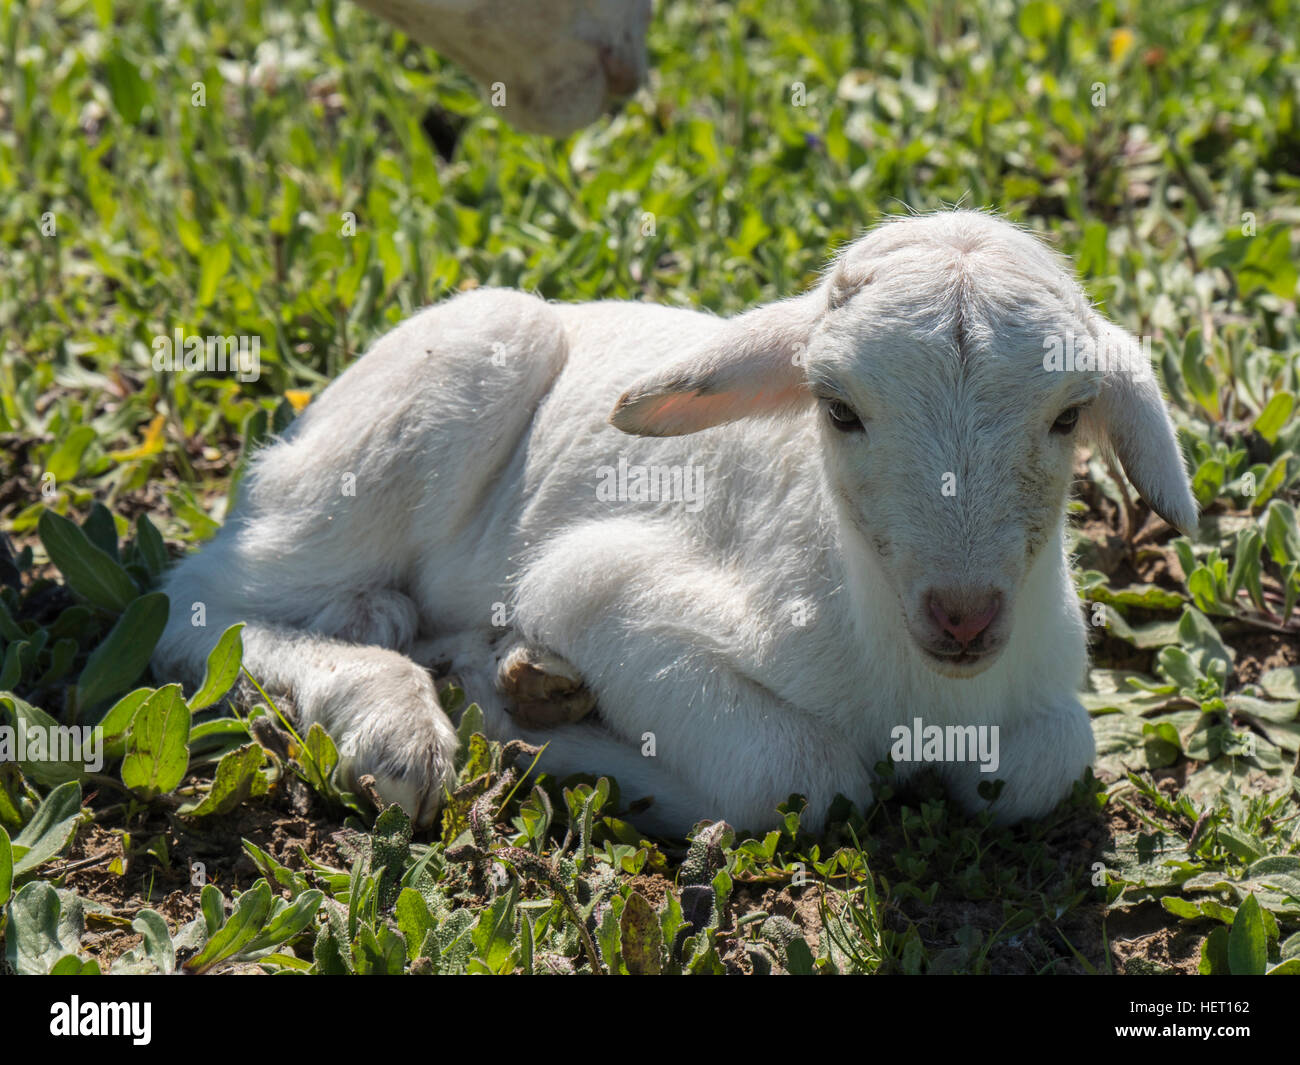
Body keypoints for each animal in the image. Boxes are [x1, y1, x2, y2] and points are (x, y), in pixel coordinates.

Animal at [152, 210, 1197, 836]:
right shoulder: (596, 588)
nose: (964, 614)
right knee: (200, 603)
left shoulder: (1043, 699)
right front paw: (536, 732)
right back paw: (399, 719)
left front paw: (525, 695)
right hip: (412, 415)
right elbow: (805, 775)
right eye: (838, 409)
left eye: (1067, 415)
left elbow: (1041, 762)